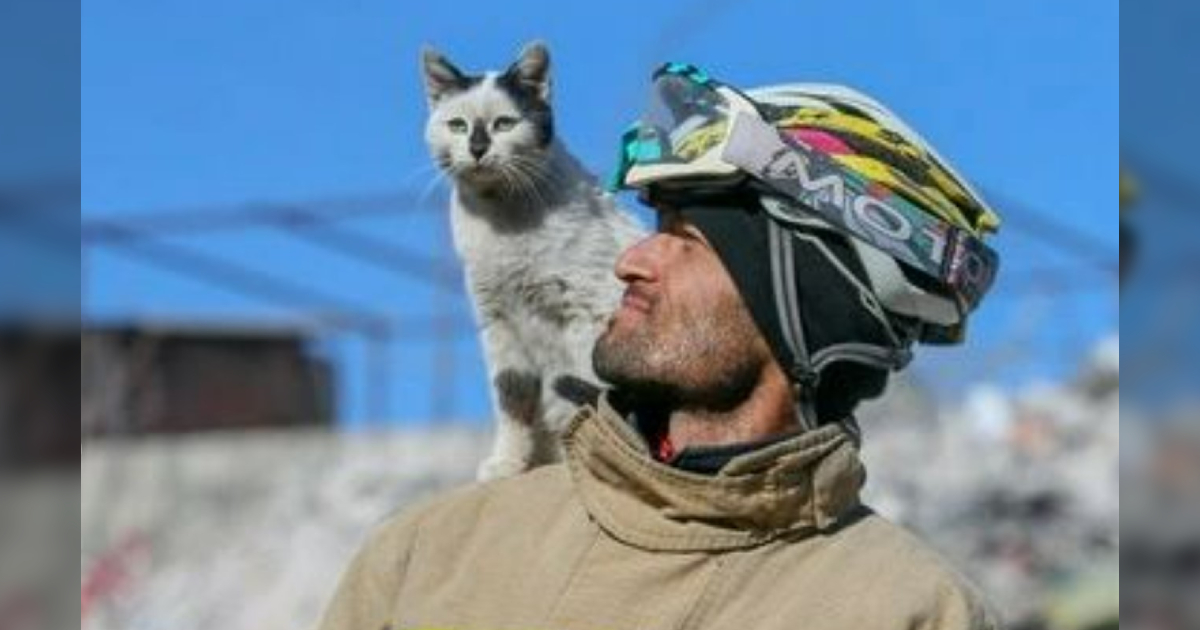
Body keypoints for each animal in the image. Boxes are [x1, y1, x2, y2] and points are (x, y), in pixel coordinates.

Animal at [424, 41, 648, 480]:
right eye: (457, 125)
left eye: (504, 124)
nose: (478, 148)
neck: (502, 222)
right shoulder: (499, 325)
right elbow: (512, 401)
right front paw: (508, 463)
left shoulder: (586, 310)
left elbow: (584, 390)